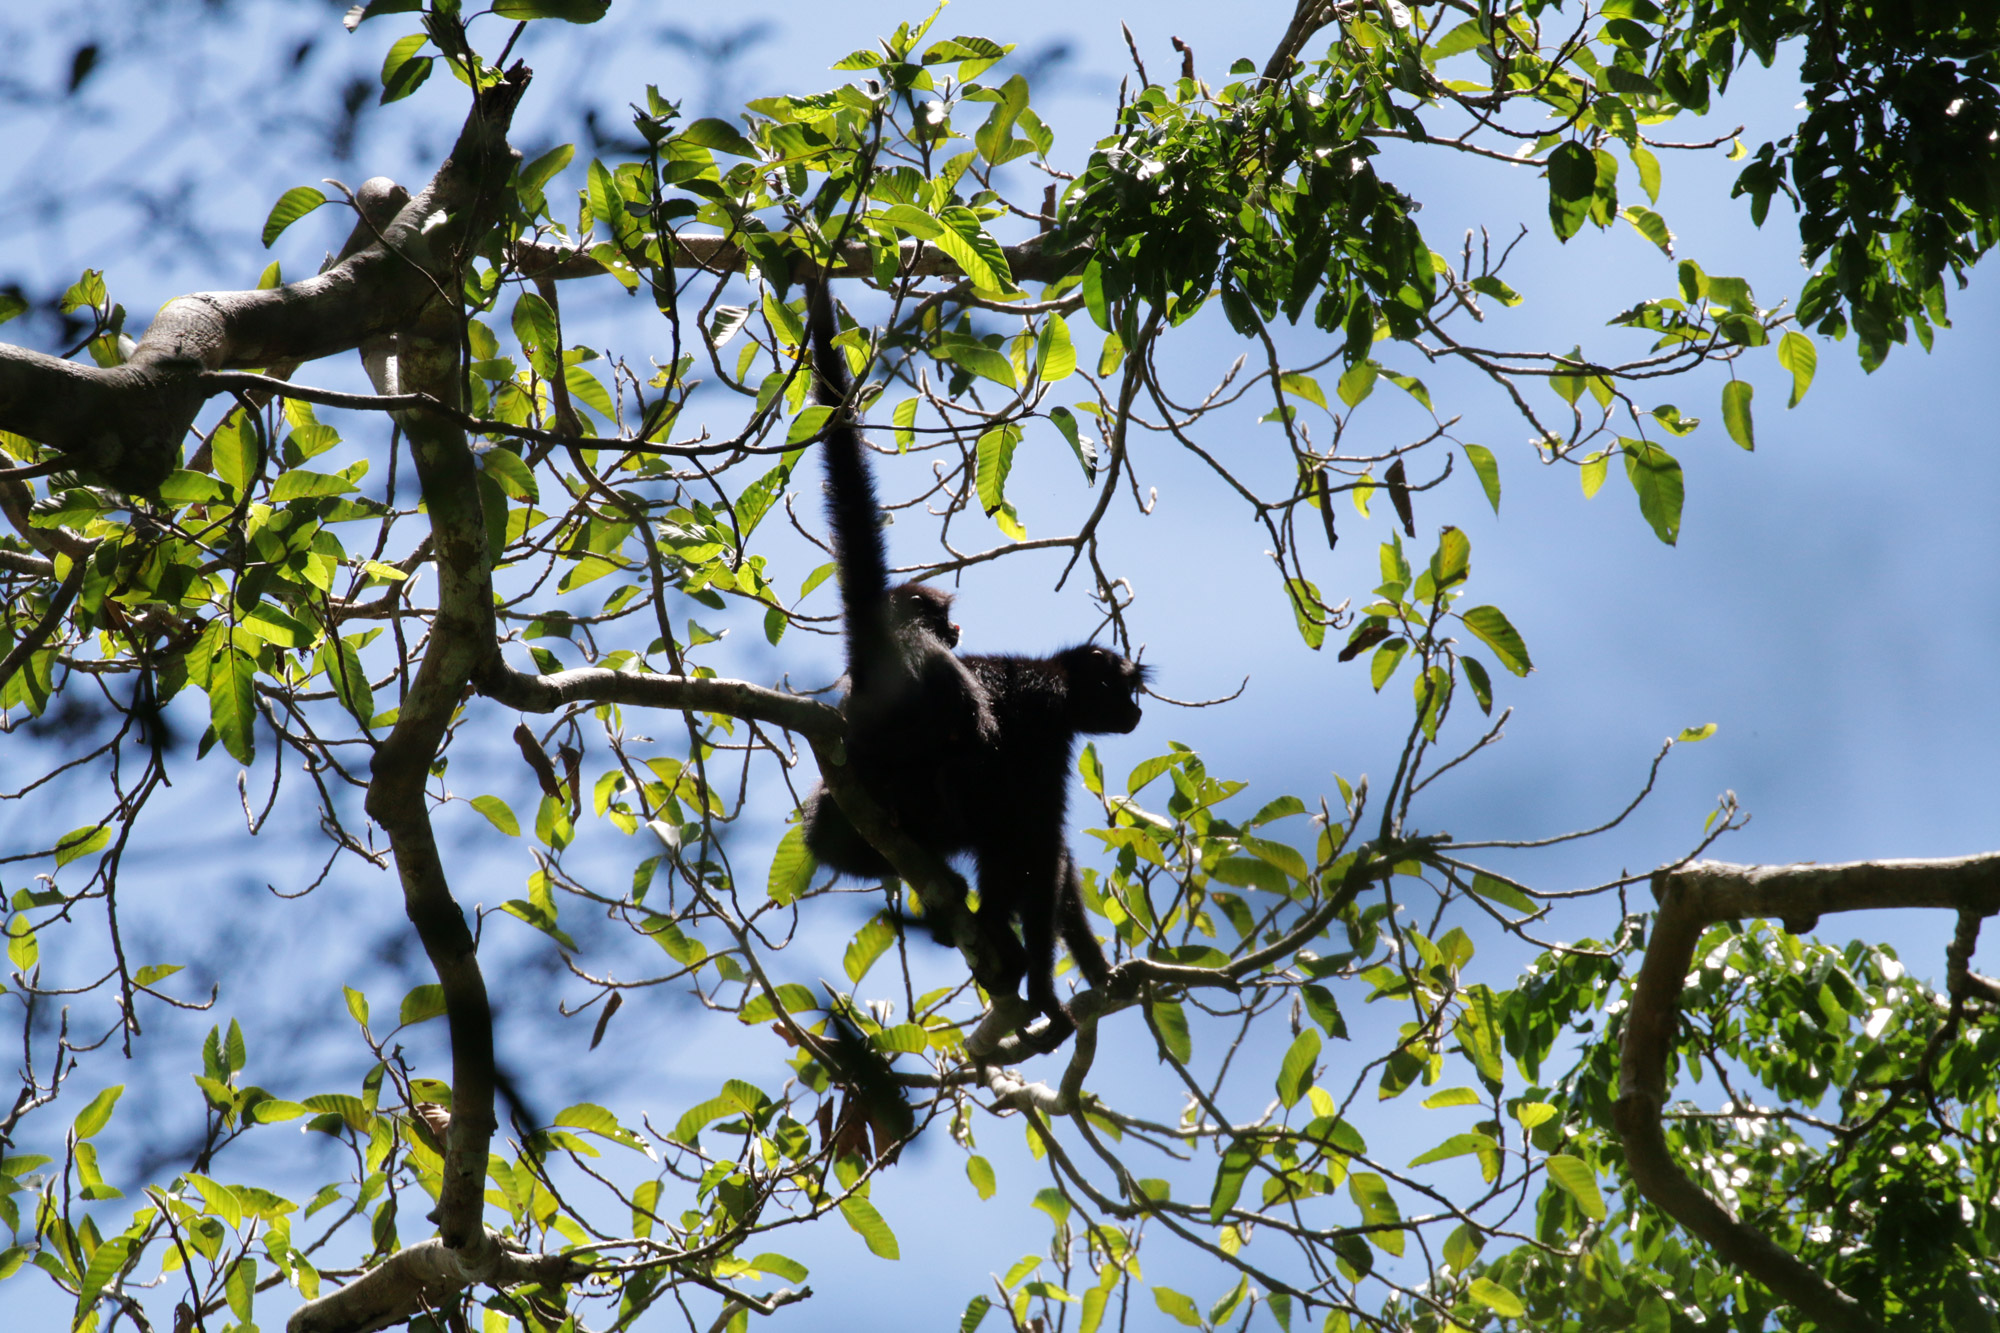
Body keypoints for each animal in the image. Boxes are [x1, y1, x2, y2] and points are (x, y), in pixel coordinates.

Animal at [792, 282, 1144, 1048]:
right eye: (1125, 691)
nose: (1136, 711)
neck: (1054, 677)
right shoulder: (1047, 724)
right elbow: (1038, 845)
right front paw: (1044, 983)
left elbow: (1055, 862)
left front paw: (1092, 970)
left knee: (828, 837)